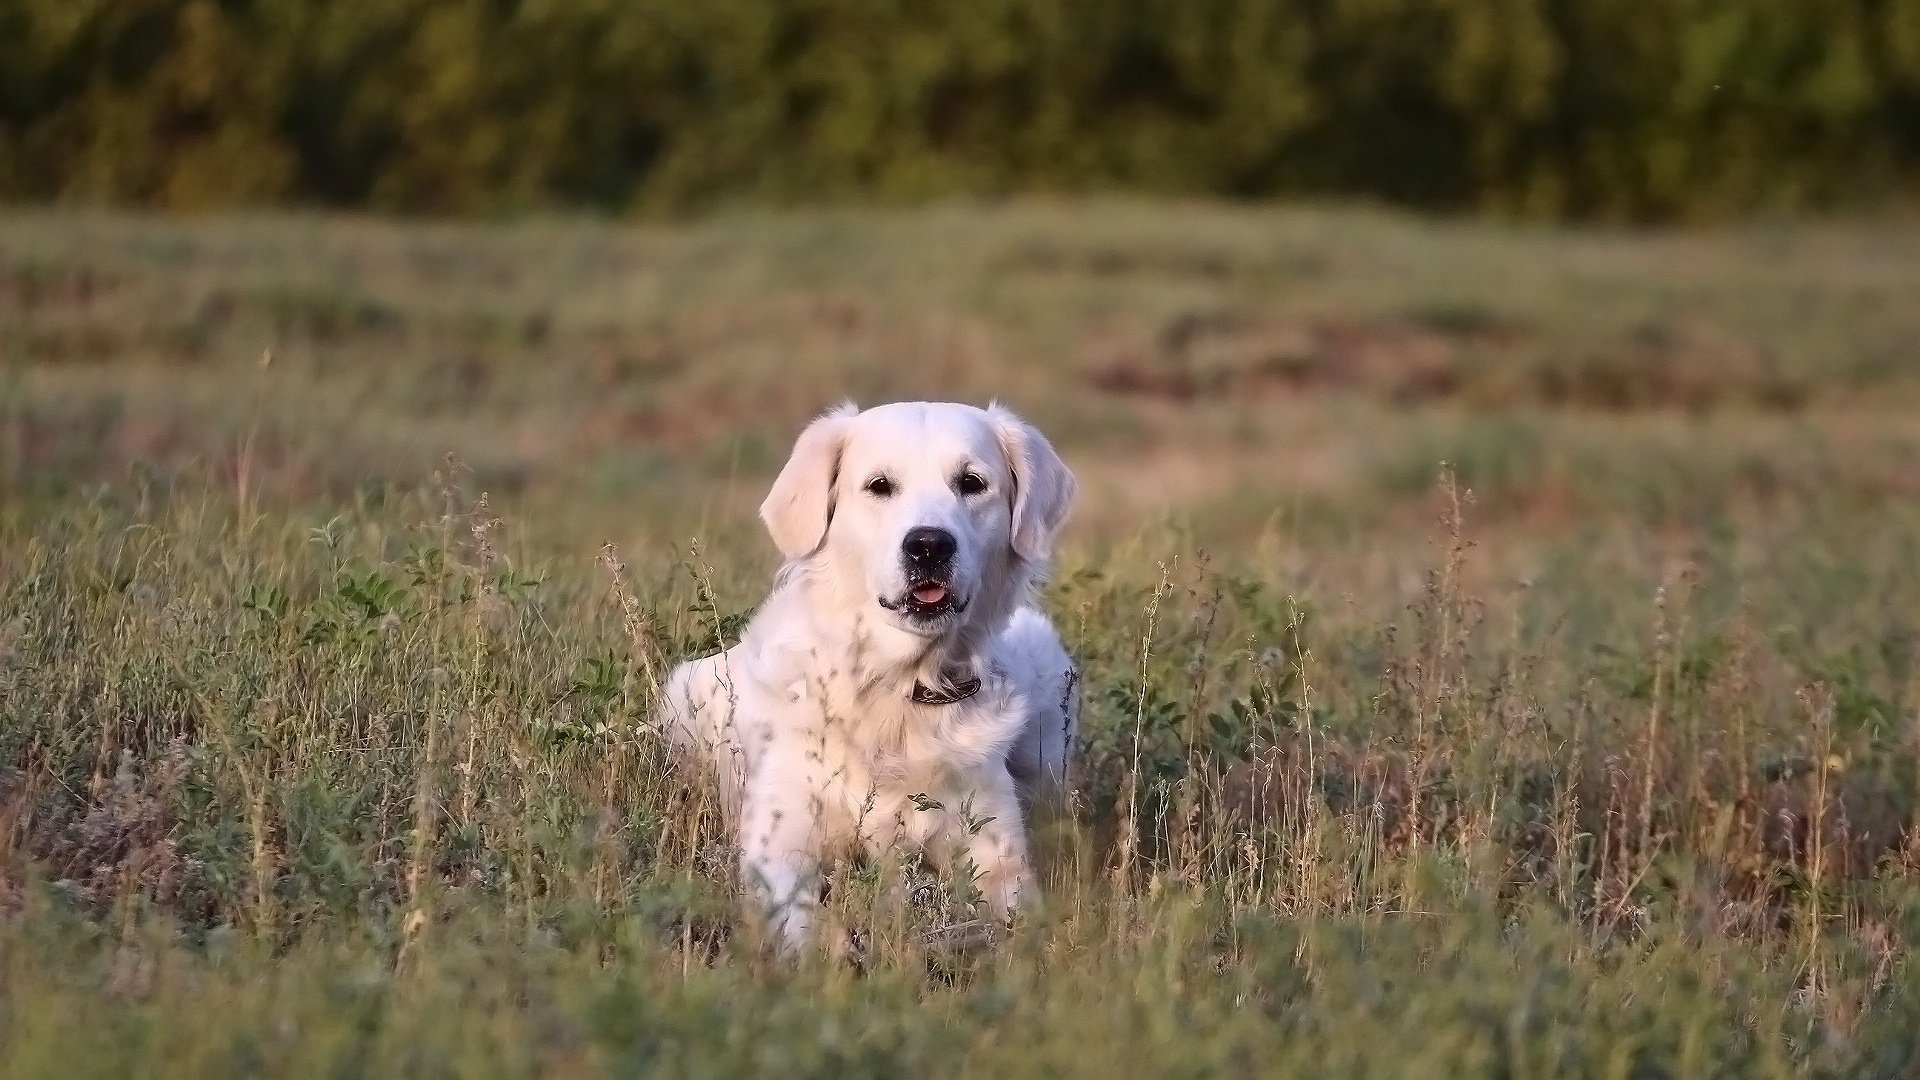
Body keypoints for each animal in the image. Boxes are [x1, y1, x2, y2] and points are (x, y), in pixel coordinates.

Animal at [660, 401, 1082, 949]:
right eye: (879, 485)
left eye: (972, 483)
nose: (929, 545)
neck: (895, 688)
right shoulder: (780, 840)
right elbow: (799, 922)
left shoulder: (994, 844)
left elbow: (1019, 917)